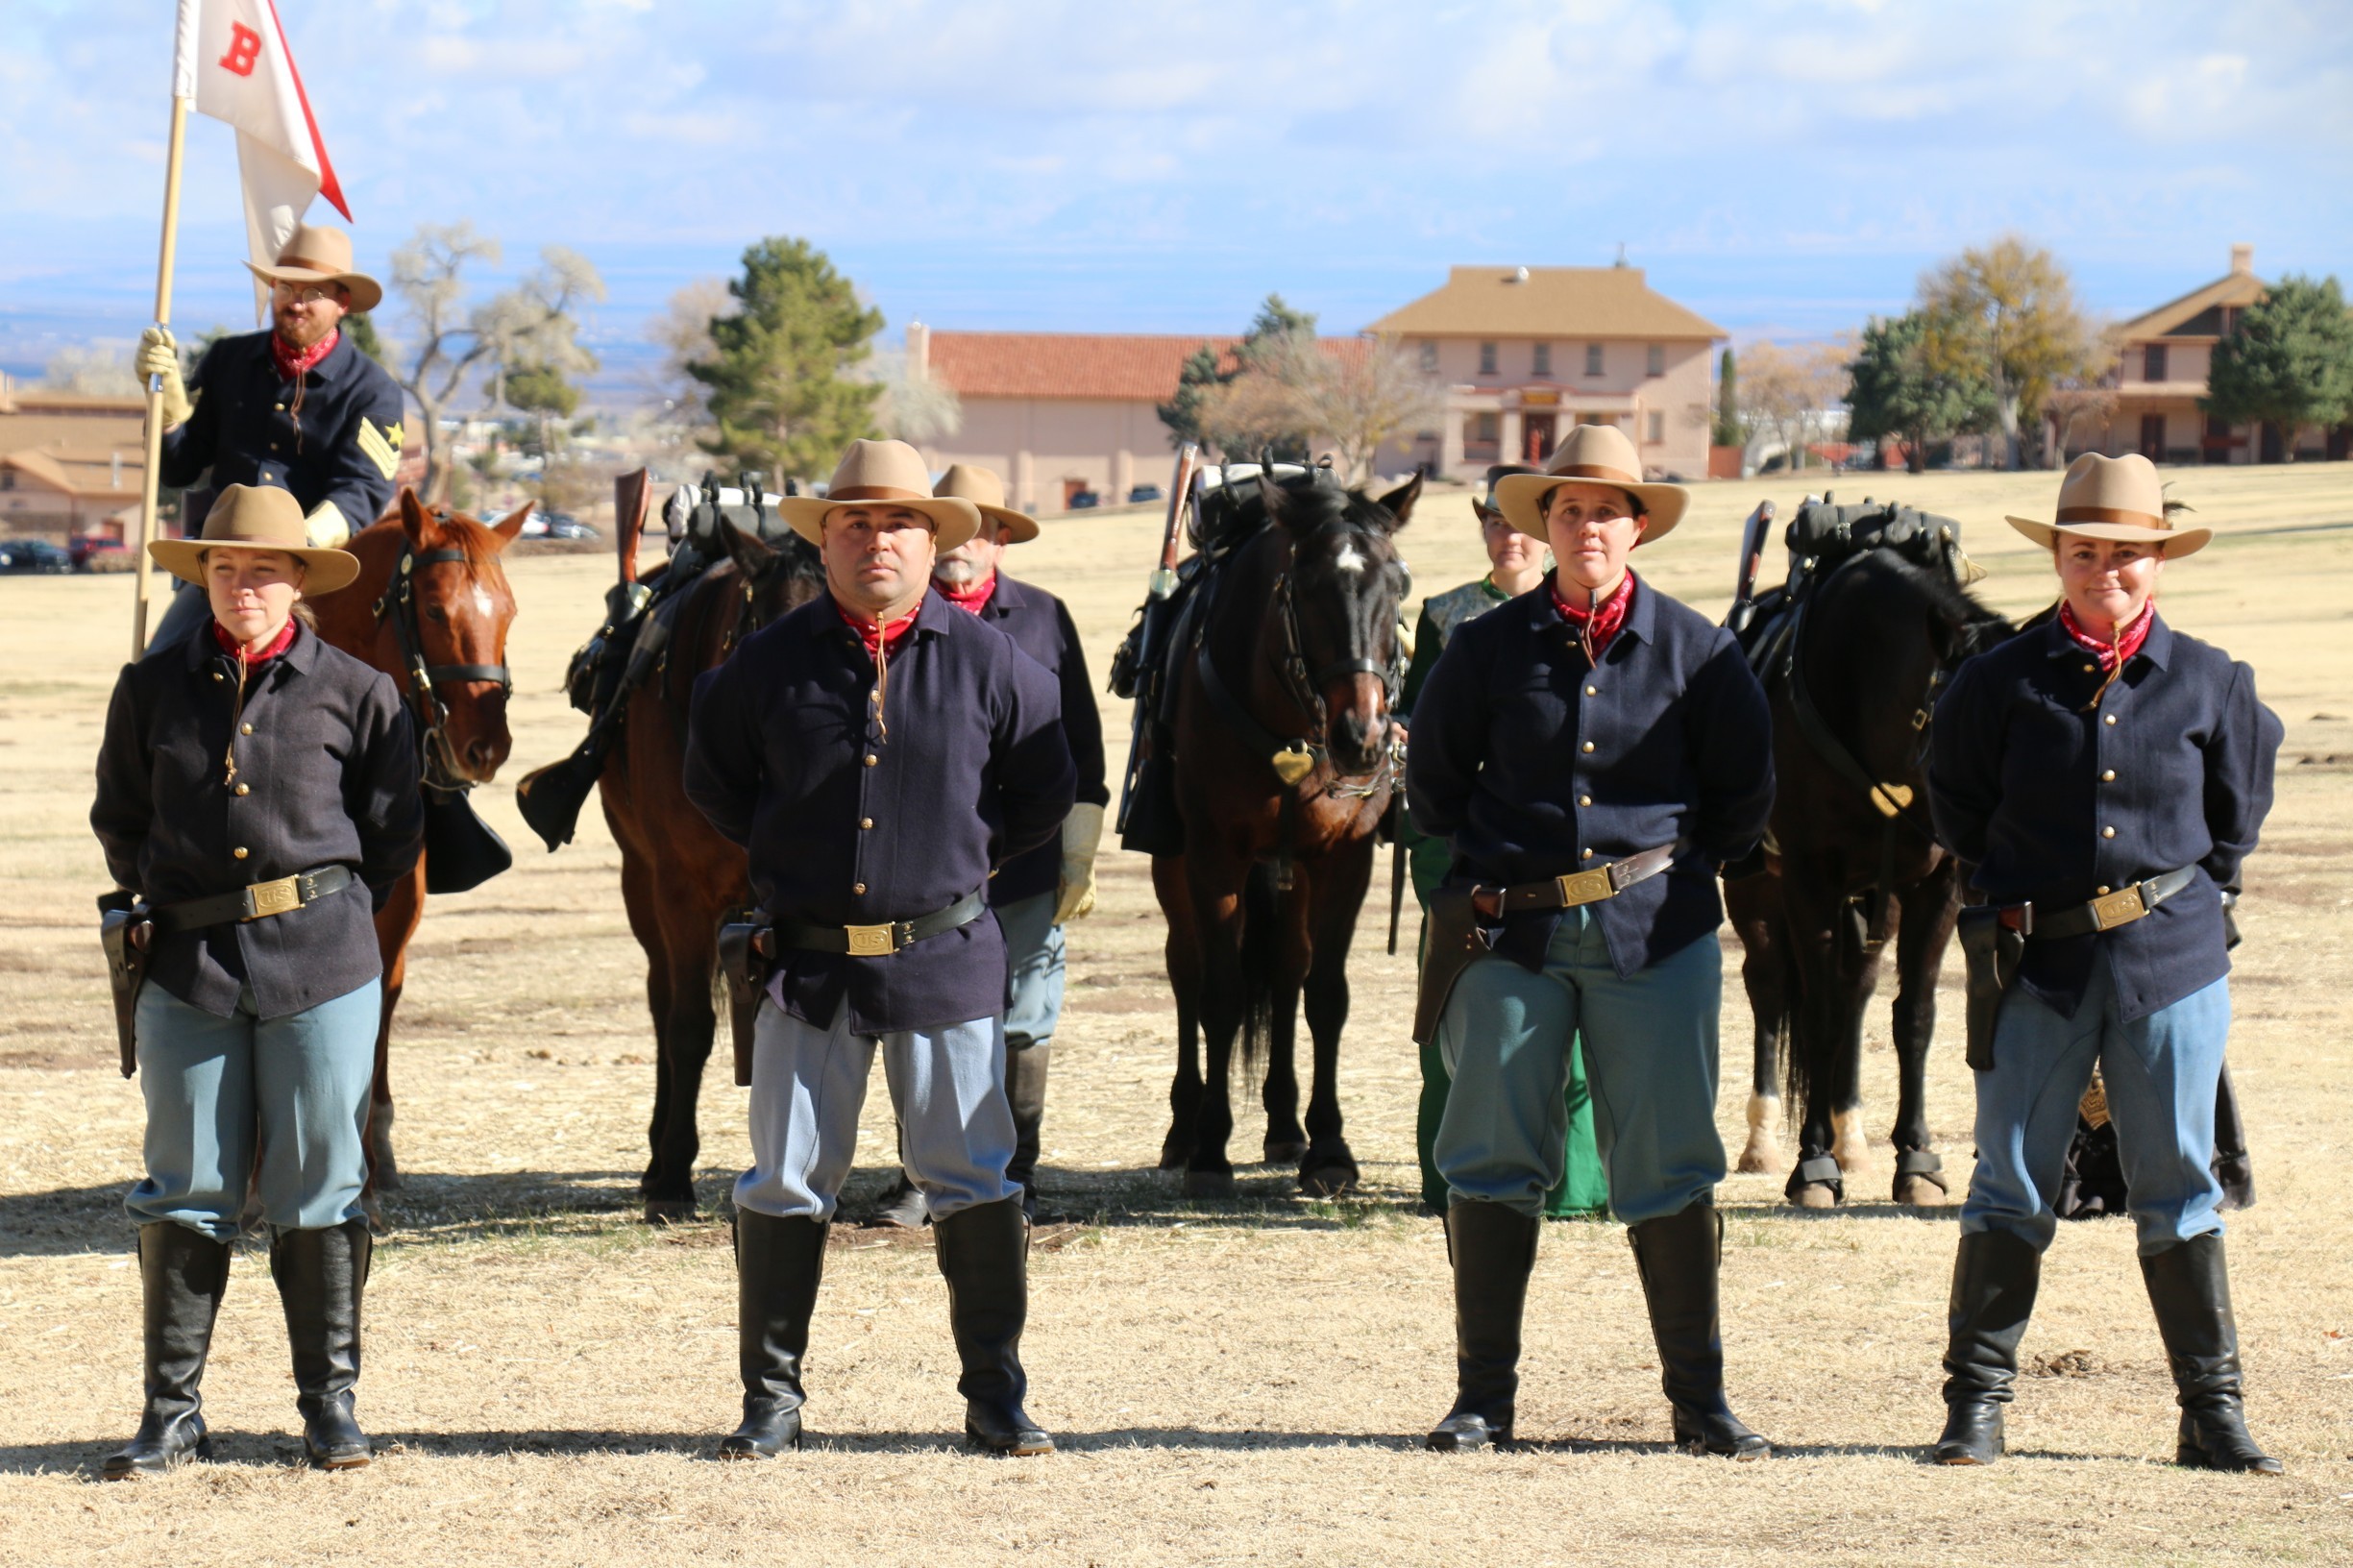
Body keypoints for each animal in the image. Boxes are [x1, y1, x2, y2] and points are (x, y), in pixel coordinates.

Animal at [307, 489, 529, 1187]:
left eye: (509, 611)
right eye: (434, 608)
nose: (486, 747)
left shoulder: (398, 897)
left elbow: (373, 994)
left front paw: (367, 1154)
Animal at [598, 518, 828, 1214]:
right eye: (766, 637)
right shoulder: (678, 891)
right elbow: (689, 1025)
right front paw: (674, 1175)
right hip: (641, 885)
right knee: (664, 1003)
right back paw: (656, 1160)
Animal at [1722, 548, 2014, 1205]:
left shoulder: (1935, 886)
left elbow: (1915, 1016)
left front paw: (1917, 1160)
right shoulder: (1808, 878)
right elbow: (1818, 1014)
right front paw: (1812, 1166)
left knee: (1857, 985)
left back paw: (1851, 1136)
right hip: (1756, 891)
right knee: (1770, 986)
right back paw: (1765, 1139)